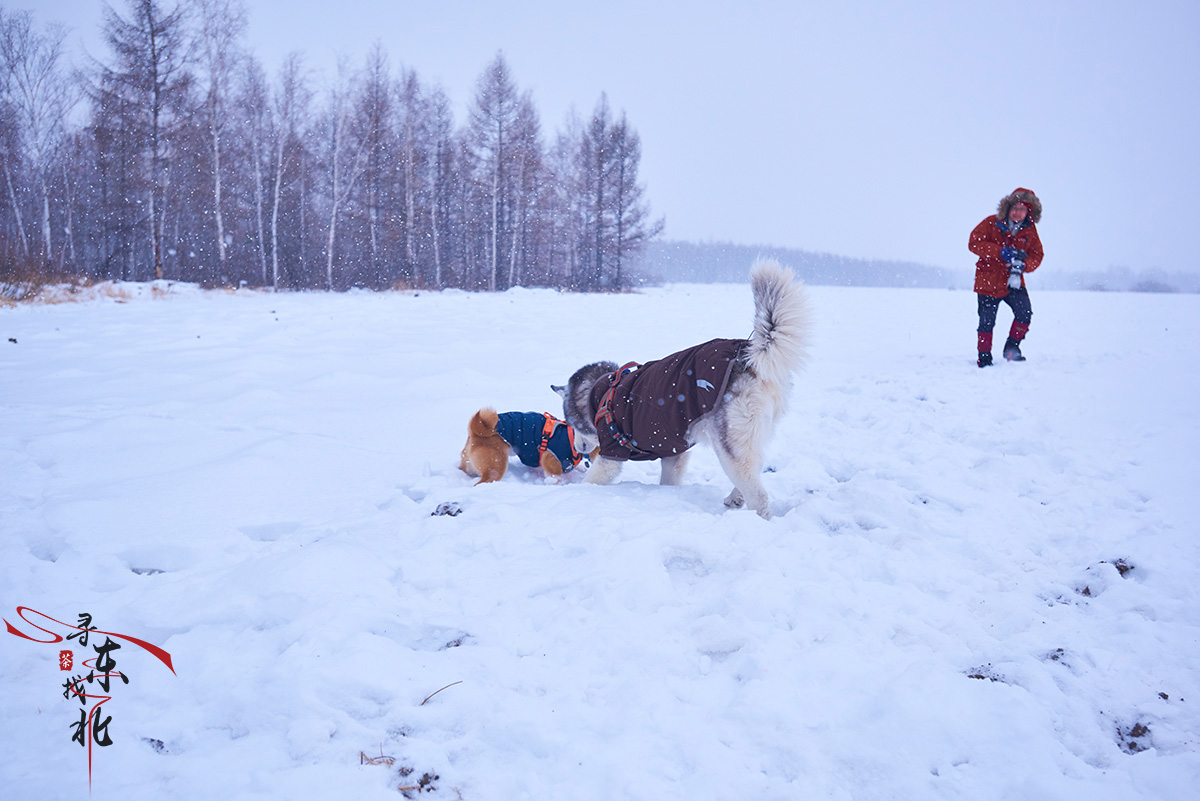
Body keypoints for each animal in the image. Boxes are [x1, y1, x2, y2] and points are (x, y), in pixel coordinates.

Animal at [554, 257, 816, 520]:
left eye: (571, 423)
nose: (578, 448)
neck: (602, 393)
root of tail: (747, 354)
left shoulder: (612, 452)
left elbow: (594, 478)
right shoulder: (673, 450)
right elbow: (670, 478)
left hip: (729, 443)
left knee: (757, 492)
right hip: (752, 434)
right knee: (756, 466)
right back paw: (735, 497)